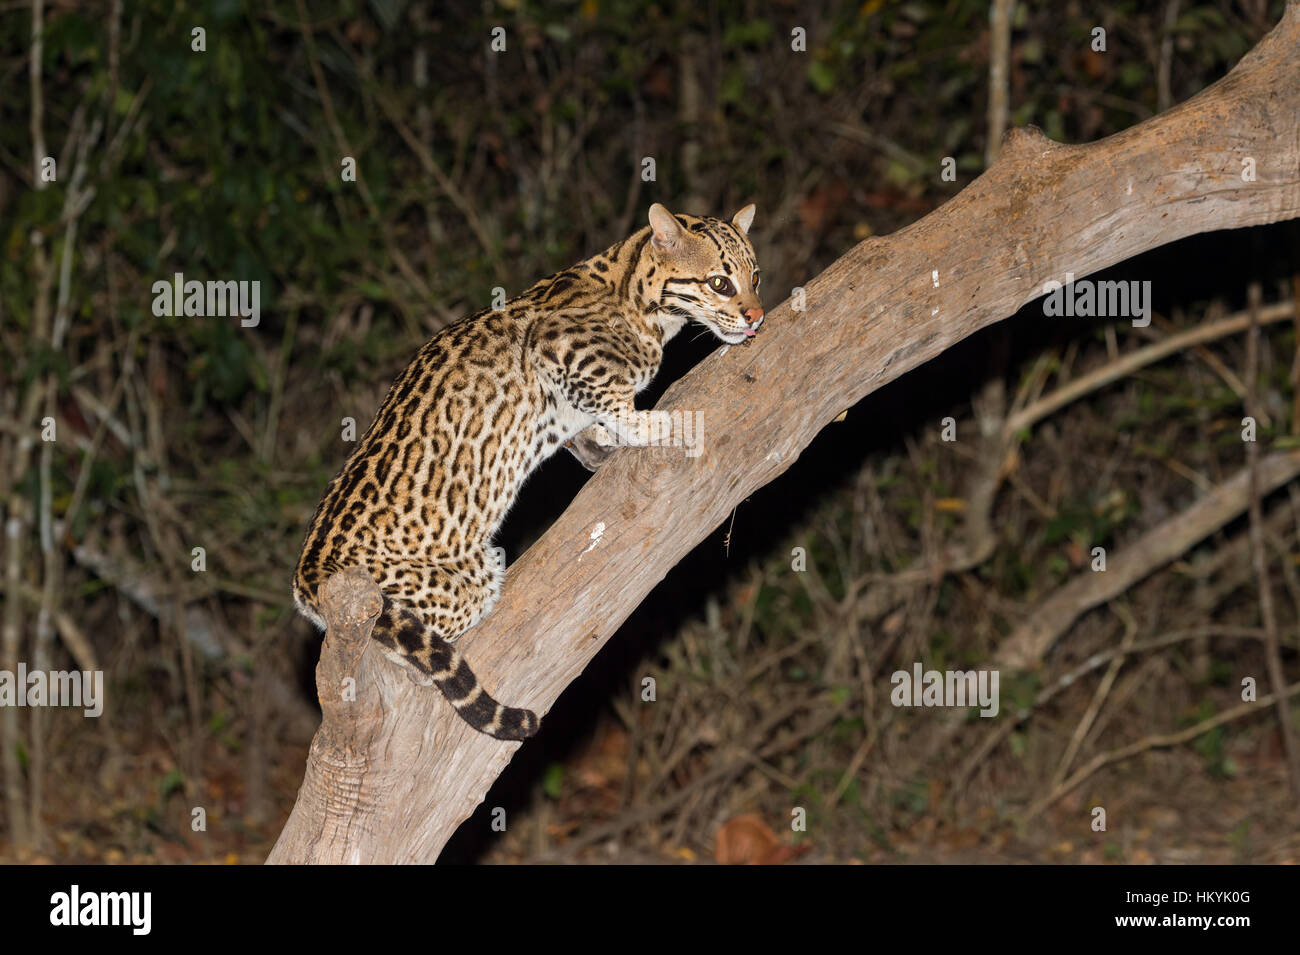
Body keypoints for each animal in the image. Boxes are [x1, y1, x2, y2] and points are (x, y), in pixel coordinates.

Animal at [295, 203, 759, 738]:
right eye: (720, 282)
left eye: (755, 277)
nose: (756, 316)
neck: (641, 298)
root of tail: (308, 571)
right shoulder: (555, 347)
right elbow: (617, 404)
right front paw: (656, 422)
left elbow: (590, 430)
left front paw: (603, 443)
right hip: (462, 580)